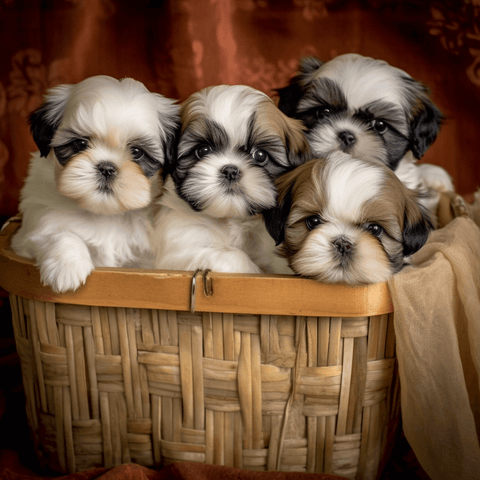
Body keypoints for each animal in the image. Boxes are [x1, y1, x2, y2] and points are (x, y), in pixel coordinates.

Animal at [11, 75, 180, 292]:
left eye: (137, 152)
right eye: (80, 144)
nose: (107, 168)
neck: (104, 213)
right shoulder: (28, 234)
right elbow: (56, 232)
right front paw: (67, 267)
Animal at [154, 84, 312, 276]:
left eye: (260, 155)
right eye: (203, 150)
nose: (230, 171)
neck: (232, 219)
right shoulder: (182, 245)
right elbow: (232, 257)